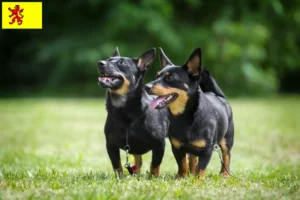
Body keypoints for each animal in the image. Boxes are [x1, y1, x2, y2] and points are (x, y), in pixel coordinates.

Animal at [96, 47, 169, 176]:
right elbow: (117, 166)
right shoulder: (110, 145)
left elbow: (155, 166)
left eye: (122, 63)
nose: (100, 63)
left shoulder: (159, 144)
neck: (124, 109)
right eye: (108, 59)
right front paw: (119, 178)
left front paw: (153, 178)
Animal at [145, 47, 234, 179]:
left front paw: (199, 180)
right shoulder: (177, 148)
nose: (146, 86)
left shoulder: (207, 150)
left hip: (226, 140)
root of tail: (218, 96)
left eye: (170, 78)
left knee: (226, 156)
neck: (185, 117)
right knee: (192, 160)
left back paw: (225, 174)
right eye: (157, 76)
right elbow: (182, 164)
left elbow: (201, 168)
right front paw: (182, 178)